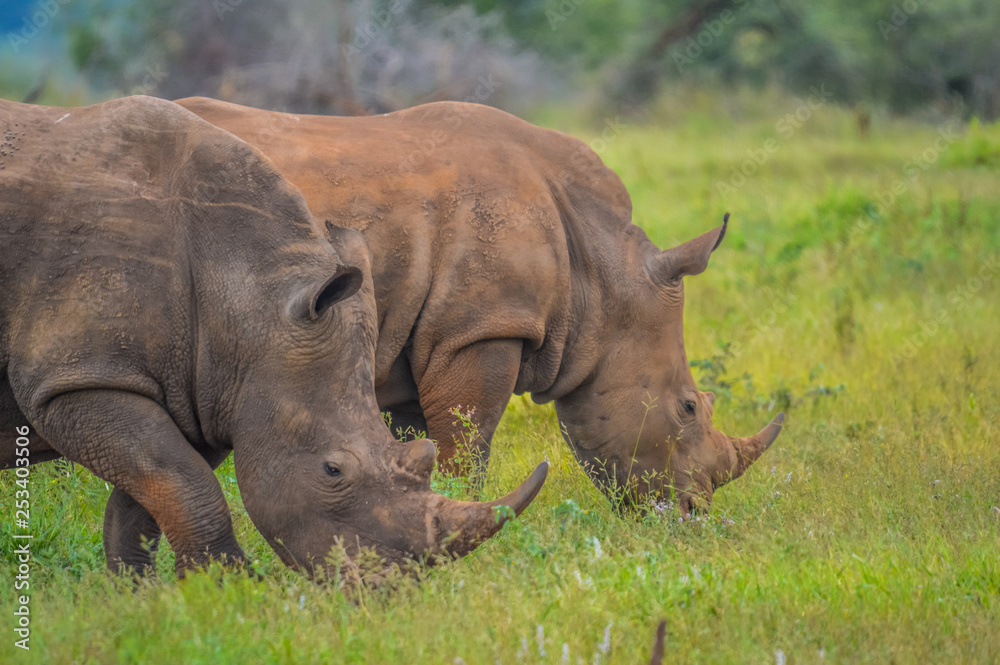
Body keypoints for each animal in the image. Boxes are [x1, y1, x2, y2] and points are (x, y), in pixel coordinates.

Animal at [0, 96, 547, 578]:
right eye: (332, 471)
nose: (390, 587)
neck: (244, 292)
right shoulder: (74, 378)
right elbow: (182, 482)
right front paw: (233, 588)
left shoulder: (207, 389)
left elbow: (151, 494)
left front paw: (144, 596)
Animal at [177, 97, 783, 514]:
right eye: (688, 408)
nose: (693, 512)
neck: (600, 278)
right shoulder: (480, 327)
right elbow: (465, 442)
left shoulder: (411, 339)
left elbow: (416, 443)